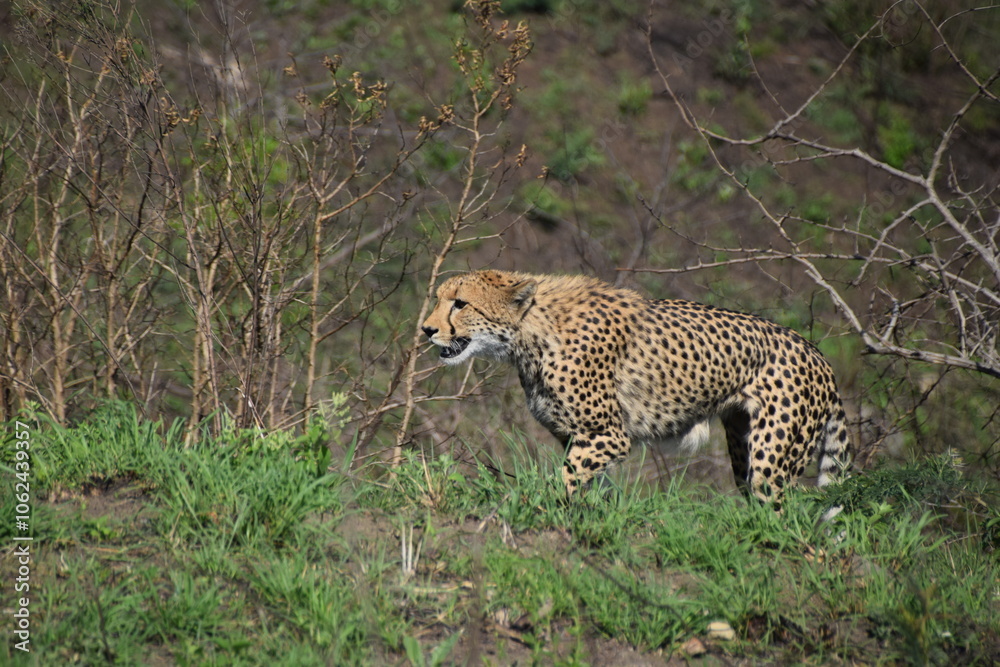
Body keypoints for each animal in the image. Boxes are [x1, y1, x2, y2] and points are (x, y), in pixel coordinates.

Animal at [421, 270, 851, 502]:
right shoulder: (575, 436)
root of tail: (819, 356)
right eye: (440, 299)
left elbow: (567, 479)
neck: (529, 333)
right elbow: (589, 483)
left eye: (460, 303)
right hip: (742, 444)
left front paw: (550, 507)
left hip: (772, 462)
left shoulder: (608, 434)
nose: (426, 329)